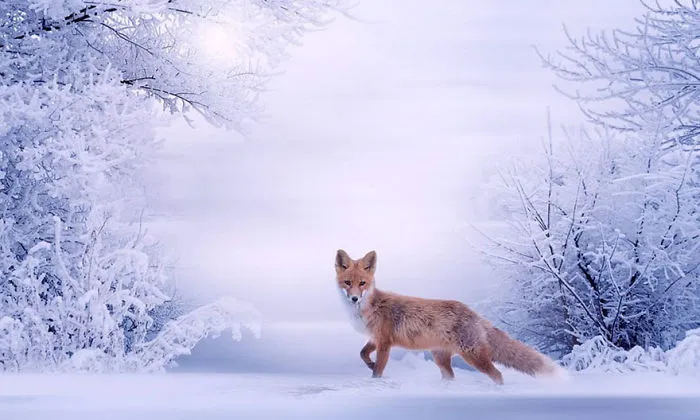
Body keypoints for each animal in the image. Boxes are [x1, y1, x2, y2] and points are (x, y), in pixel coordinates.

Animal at [334, 249, 564, 384]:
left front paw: (375, 377)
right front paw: (369, 364)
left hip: (473, 356)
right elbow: (363, 354)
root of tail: (475, 314)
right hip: (441, 358)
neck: (369, 308)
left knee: (497, 375)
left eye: (362, 283)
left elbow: (378, 370)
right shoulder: (375, 338)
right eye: (348, 283)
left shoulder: (385, 342)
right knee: (451, 377)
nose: (354, 298)